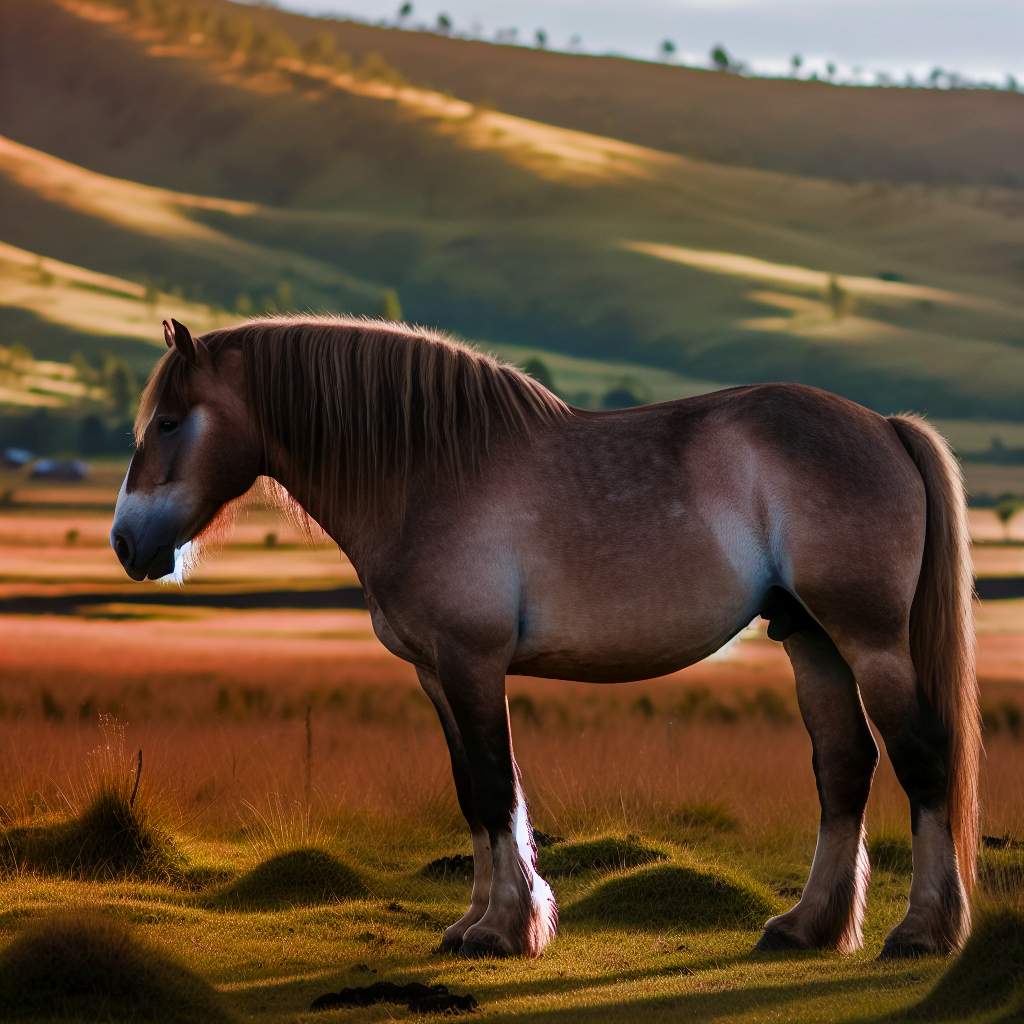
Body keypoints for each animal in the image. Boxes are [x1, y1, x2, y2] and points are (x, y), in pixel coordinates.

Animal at [108, 313, 978, 958]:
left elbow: (498, 785)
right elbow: (470, 789)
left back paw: (923, 932)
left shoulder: (472, 662)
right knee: (845, 769)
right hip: (811, 639)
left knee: (923, 760)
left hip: (869, 640)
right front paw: (472, 923)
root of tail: (886, 427)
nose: (125, 543)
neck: (426, 474)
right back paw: (807, 928)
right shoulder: (435, 672)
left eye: (171, 422)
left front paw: (506, 929)